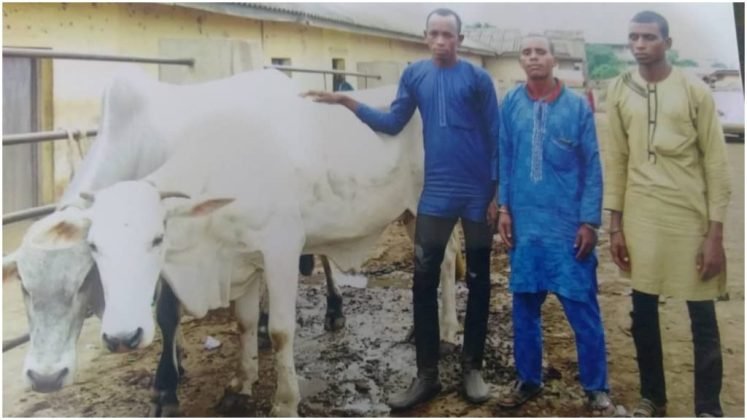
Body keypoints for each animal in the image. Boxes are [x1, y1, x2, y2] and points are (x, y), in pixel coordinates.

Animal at [76, 69, 462, 416]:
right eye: (94, 246)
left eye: (158, 239)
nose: (122, 337)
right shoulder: (244, 258)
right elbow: (245, 323)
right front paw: (241, 383)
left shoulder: (281, 251)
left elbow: (279, 332)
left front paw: (285, 402)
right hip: (409, 215)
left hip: (429, 210)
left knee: (445, 264)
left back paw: (448, 331)